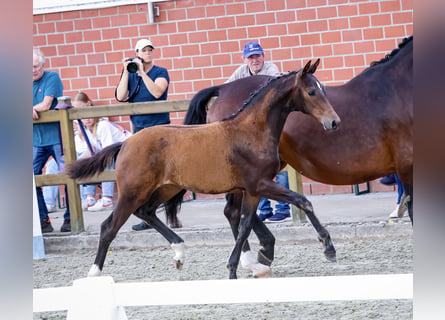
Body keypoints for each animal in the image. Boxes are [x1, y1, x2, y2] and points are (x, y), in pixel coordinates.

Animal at [66, 59, 338, 278]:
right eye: (312, 91)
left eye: (323, 89)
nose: (334, 122)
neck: (251, 131)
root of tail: (125, 143)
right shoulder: (259, 184)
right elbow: (302, 201)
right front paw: (328, 247)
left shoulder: (251, 190)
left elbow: (244, 226)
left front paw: (235, 268)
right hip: (133, 191)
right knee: (109, 227)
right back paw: (94, 274)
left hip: (166, 188)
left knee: (147, 212)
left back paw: (179, 253)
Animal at [175, 35, 412, 276]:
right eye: (311, 92)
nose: (333, 122)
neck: (397, 90)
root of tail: (222, 89)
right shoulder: (408, 167)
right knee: (233, 212)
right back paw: (254, 261)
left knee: (237, 213)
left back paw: (263, 253)